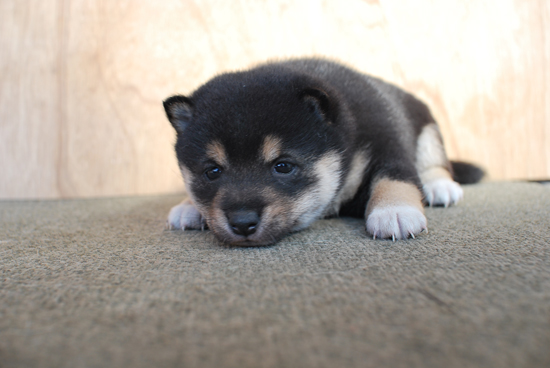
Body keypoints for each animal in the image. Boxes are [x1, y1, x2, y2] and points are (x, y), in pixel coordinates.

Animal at [163, 59, 484, 246]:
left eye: (283, 166)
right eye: (212, 171)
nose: (242, 222)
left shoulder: (388, 142)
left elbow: (395, 176)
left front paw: (395, 210)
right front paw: (189, 205)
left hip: (428, 131)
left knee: (436, 165)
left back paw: (439, 187)